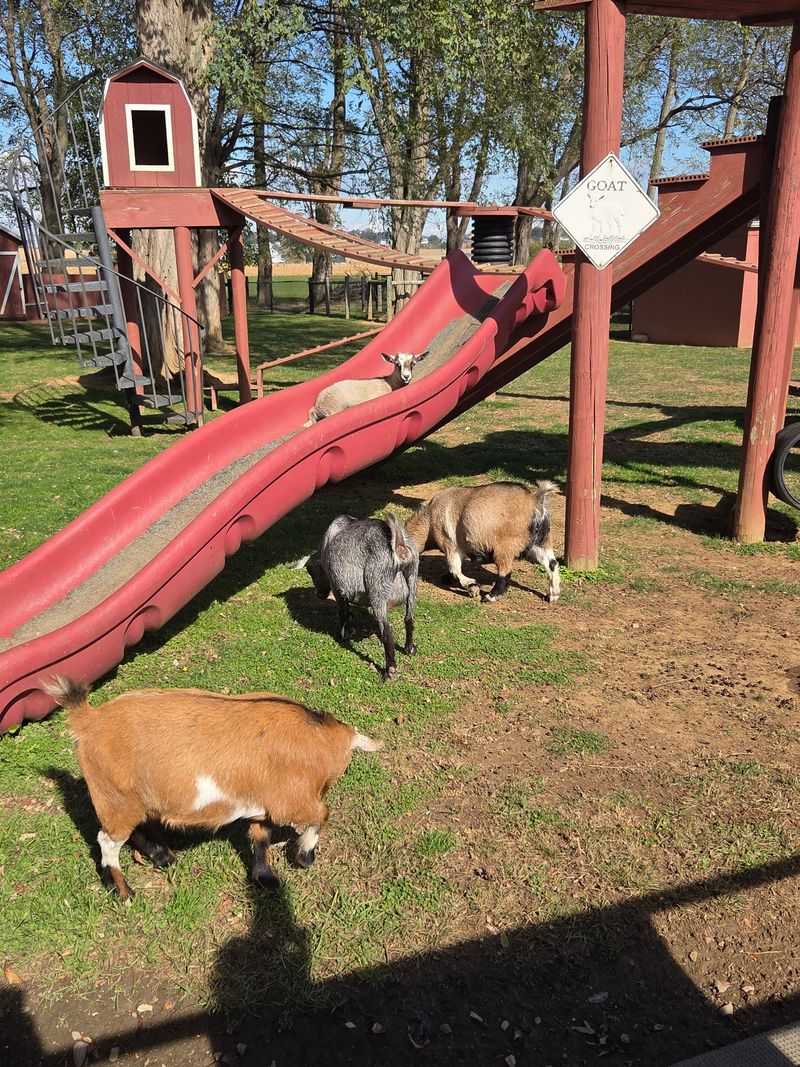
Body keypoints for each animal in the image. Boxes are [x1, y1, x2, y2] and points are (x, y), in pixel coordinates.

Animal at [44, 677, 381, 900]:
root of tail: (89, 720)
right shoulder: (292, 801)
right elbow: (322, 815)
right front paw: (304, 857)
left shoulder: (260, 802)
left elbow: (259, 837)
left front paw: (265, 879)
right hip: (115, 798)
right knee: (107, 841)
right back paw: (124, 891)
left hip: (135, 798)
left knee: (134, 829)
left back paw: (163, 856)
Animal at [304, 513, 419, 680]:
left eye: (312, 574)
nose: (319, 595)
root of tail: (399, 547)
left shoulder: (338, 589)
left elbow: (343, 613)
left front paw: (343, 635)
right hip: (412, 583)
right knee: (409, 620)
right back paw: (409, 648)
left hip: (377, 592)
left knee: (387, 633)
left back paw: (390, 670)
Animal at [406, 480, 560, 603]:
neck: (429, 519)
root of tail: (535, 499)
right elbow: (454, 570)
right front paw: (448, 579)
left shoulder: (450, 543)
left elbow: (455, 568)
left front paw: (472, 586)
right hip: (541, 541)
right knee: (552, 563)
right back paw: (553, 595)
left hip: (505, 546)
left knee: (505, 572)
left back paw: (490, 597)